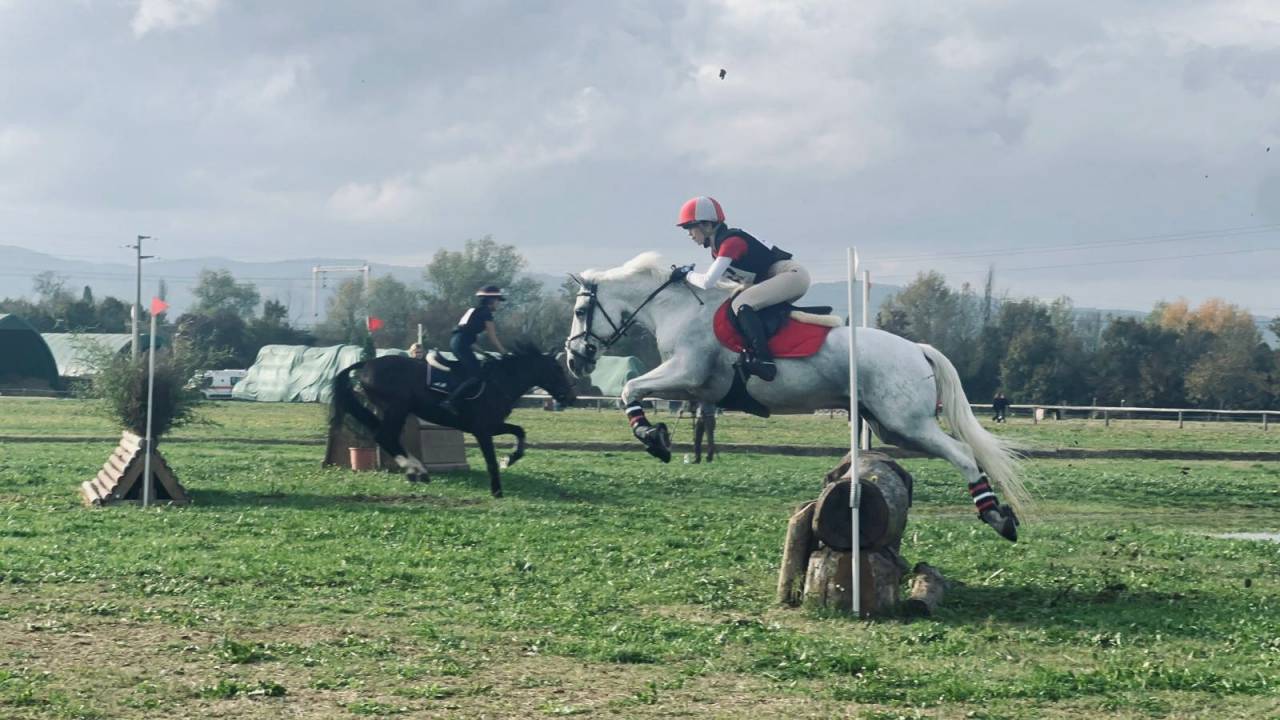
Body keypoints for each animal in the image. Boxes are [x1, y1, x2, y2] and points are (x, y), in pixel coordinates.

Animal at [329, 343, 577, 497]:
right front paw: (497, 490)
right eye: (557, 369)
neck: (499, 381)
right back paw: (415, 469)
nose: (570, 397)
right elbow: (490, 460)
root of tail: (367, 364)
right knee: (385, 436)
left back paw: (417, 470)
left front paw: (510, 459)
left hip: (394, 411)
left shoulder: (493, 426)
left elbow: (519, 431)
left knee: (387, 437)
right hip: (396, 409)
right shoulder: (482, 429)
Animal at [563, 252, 1031, 541]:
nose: (574, 360)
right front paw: (657, 436)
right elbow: (637, 391)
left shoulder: (688, 373)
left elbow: (630, 388)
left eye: (581, 312)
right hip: (892, 427)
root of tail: (917, 349)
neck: (676, 307)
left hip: (907, 422)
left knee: (963, 453)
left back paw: (997, 517)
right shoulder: (696, 387)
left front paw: (653, 438)